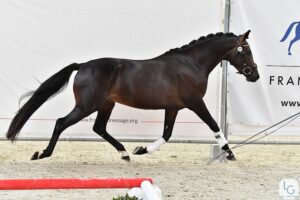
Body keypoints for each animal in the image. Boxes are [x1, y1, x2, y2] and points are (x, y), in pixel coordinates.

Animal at [7, 30, 260, 161]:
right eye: (246, 51)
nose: (255, 75)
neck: (191, 64)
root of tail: (83, 66)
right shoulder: (195, 102)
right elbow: (214, 125)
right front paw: (230, 153)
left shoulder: (173, 108)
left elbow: (167, 134)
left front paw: (141, 150)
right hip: (87, 105)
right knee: (61, 123)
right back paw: (43, 153)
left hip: (106, 104)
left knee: (99, 128)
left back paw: (125, 153)